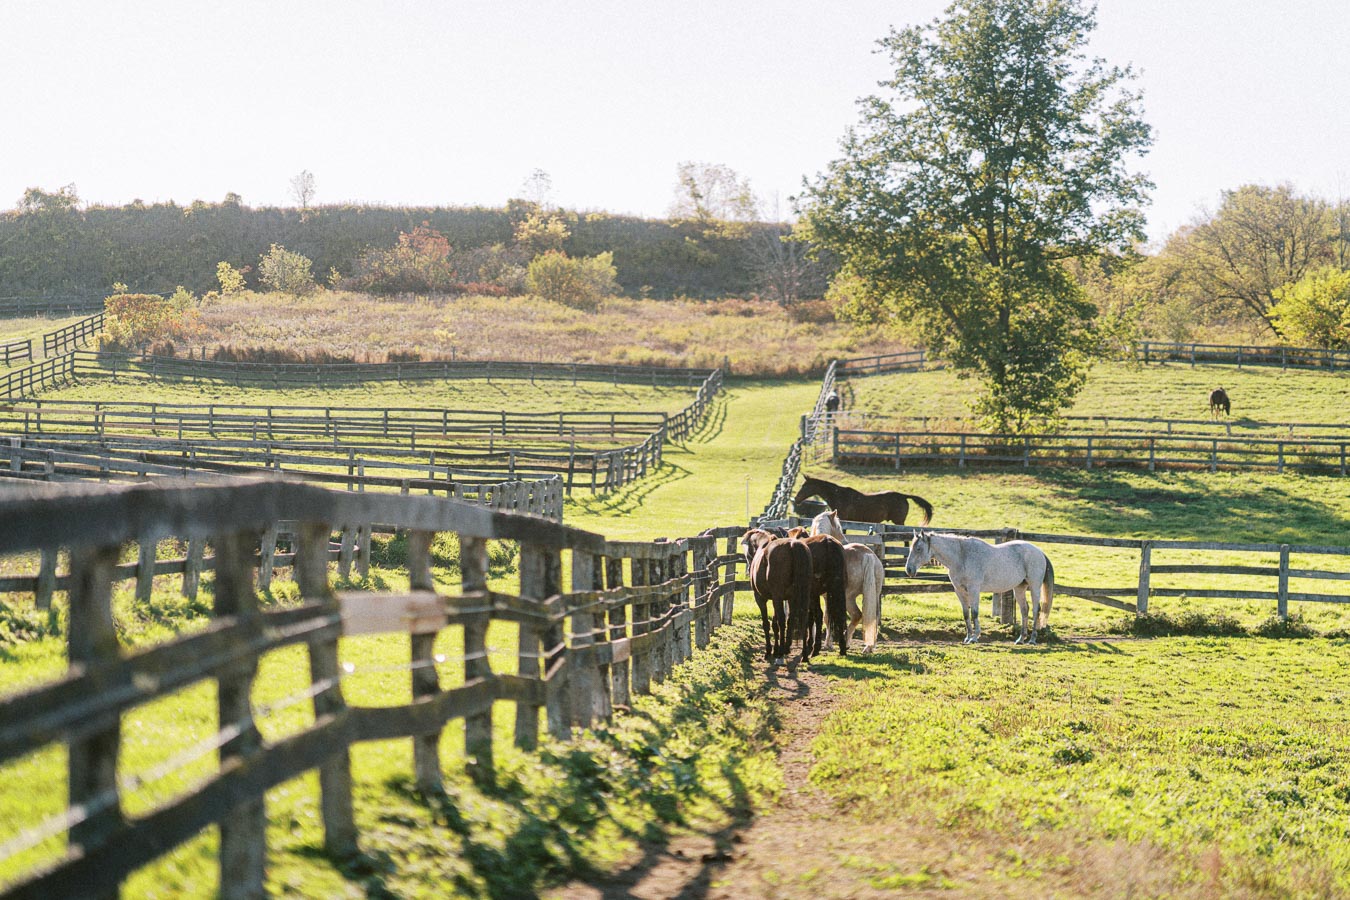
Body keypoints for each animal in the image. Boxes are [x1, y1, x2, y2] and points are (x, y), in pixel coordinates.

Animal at [741, 530, 816, 664]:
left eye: (748, 553)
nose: (749, 569)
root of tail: (793, 545)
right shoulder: (783, 598)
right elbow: (776, 623)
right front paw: (777, 649)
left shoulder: (762, 598)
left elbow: (767, 623)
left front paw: (769, 651)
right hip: (802, 595)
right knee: (803, 618)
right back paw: (803, 654)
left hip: (778, 597)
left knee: (782, 620)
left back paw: (781, 654)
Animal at [793, 475, 933, 527]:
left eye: (804, 486)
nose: (796, 499)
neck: (839, 496)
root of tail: (903, 496)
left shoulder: (843, 519)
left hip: (899, 522)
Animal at [809, 511, 885, 654]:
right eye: (839, 527)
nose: (844, 540)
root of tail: (868, 555)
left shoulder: (826, 597)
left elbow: (826, 617)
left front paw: (828, 644)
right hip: (874, 595)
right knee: (872, 617)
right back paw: (869, 646)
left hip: (848, 597)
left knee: (857, 615)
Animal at [903, 530, 1055, 645]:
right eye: (911, 548)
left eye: (918, 549)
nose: (909, 570)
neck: (962, 557)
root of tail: (1039, 552)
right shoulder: (959, 591)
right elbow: (966, 614)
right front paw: (967, 637)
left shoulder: (974, 589)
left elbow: (975, 613)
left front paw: (975, 637)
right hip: (1019, 588)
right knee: (1025, 610)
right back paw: (1020, 639)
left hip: (1034, 586)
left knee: (1036, 610)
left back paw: (1032, 639)